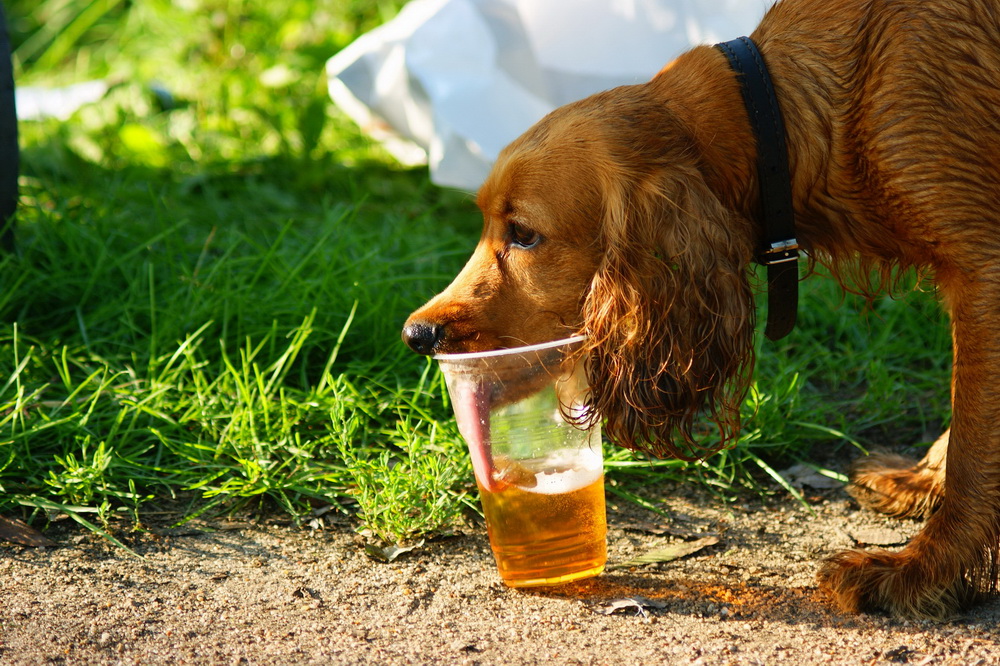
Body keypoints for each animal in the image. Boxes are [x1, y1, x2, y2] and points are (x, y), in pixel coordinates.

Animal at [404, 0, 1000, 616]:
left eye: (523, 234)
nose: (415, 335)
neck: (782, 117)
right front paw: (926, 483)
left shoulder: (982, 263)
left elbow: (975, 448)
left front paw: (923, 570)